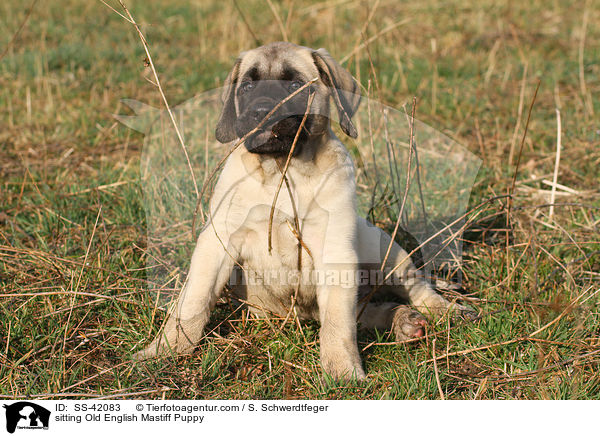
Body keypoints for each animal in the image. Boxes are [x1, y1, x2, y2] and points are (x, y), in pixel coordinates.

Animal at [136, 41, 474, 382]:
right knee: (366, 312)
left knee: (416, 290)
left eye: (295, 85)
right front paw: (165, 349)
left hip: (386, 251)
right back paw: (403, 321)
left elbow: (338, 324)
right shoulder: (218, 242)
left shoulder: (335, 251)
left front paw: (342, 371)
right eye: (246, 86)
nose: (261, 112)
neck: (281, 170)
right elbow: (192, 303)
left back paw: (443, 312)